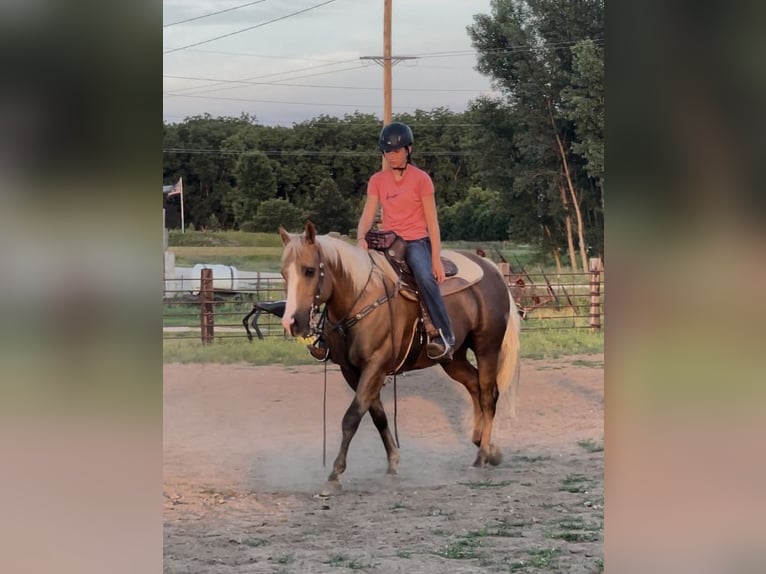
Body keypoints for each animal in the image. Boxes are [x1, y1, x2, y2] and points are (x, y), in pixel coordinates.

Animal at [279, 221, 520, 487]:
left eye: (309, 270)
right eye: (283, 273)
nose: (292, 322)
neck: (360, 296)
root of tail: (492, 270)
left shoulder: (375, 365)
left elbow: (352, 416)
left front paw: (336, 472)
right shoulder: (351, 371)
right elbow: (376, 415)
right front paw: (393, 461)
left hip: (487, 347)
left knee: (488, 395)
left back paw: (482, 455)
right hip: (453, 358)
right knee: (475, 386)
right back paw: (487, 447)